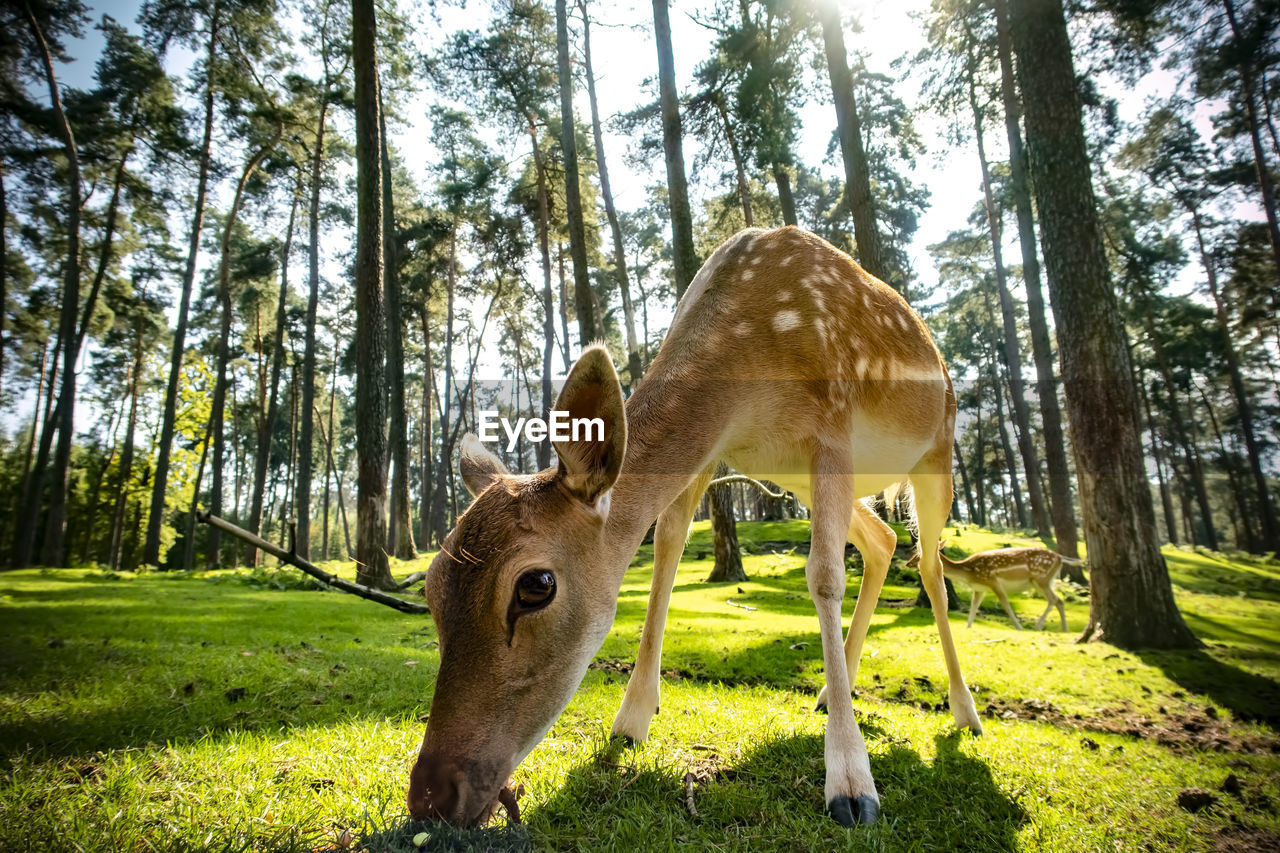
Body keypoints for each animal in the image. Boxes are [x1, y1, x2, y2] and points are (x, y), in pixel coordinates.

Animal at [409, 224, 977, 824]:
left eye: (536, 585)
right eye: (430, 586)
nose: (430, 796)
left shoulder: (833, 428)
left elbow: (823, 576)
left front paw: (850, 785)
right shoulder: (714, 452)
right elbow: (666, 550)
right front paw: (631, 721)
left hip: (936, 455)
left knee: (931, 567)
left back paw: (965, 711)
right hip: (799, 478)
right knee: (884, 539)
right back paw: (829, 691)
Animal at [911, 540, 1080, 627]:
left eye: (918, 554)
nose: (908, 563)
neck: (969, 573)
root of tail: (1060, 558)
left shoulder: (993, 581)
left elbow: (1005, 604)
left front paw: (1018, 627)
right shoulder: (980, 588)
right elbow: (973, 607)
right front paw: (968, 627)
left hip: (1041, 578)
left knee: (1053, 599)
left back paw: (1039, 625)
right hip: (1046, 581)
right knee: (1059, 600)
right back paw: (1064, 629)